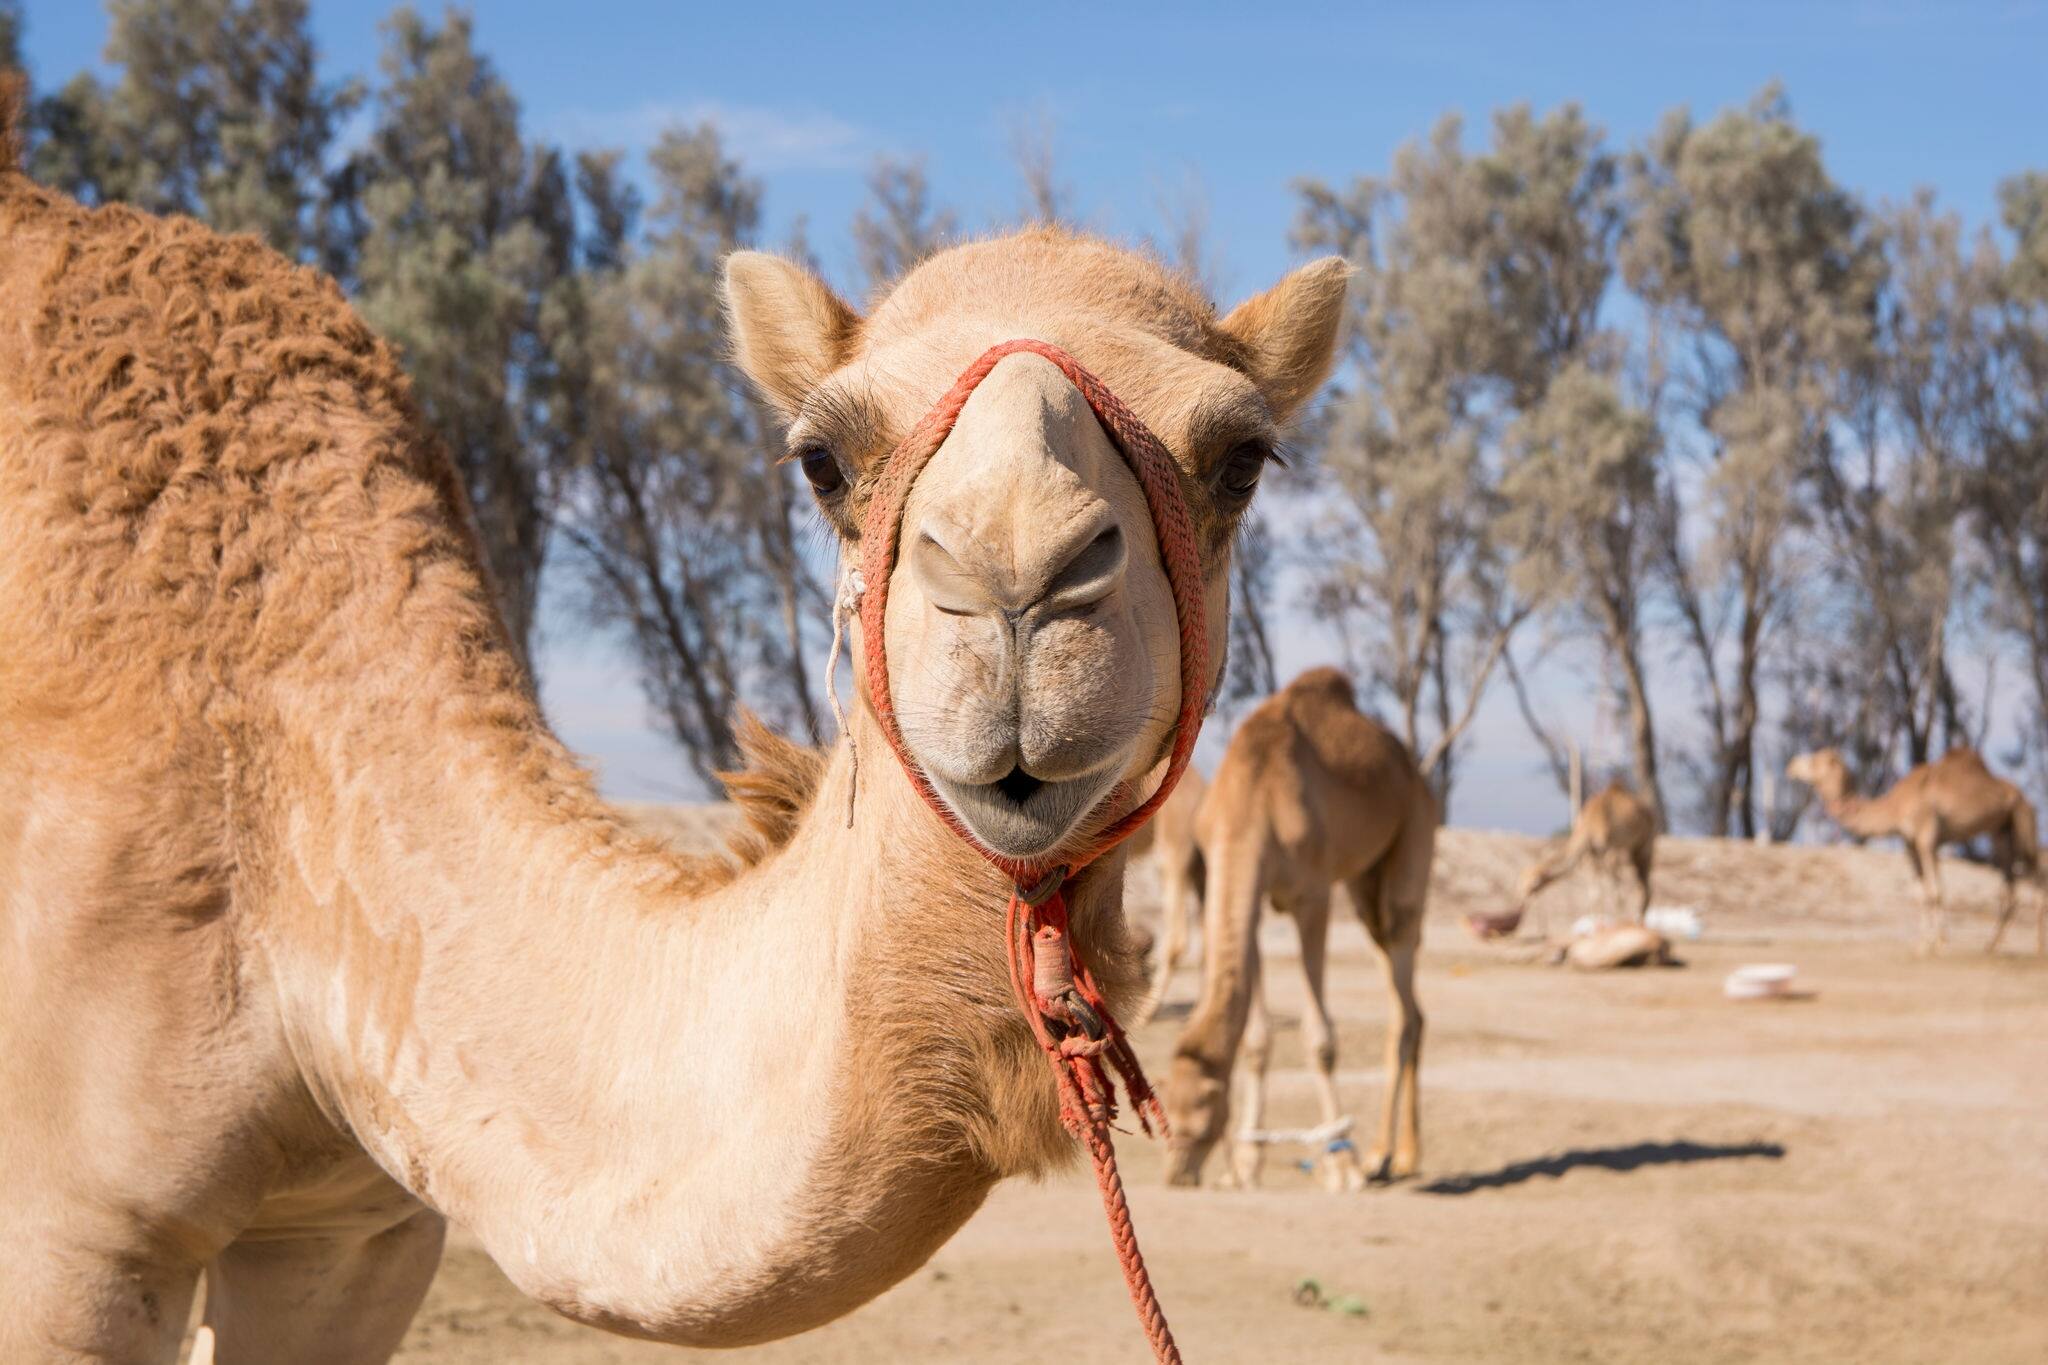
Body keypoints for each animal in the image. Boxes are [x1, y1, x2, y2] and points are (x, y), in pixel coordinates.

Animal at [1161, 668, 1437, 1192]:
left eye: (1204, 1116)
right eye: (1163, 1110)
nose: (1178, 1175)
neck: (1254, 798)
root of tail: (1414, 771)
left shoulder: (1312, 897)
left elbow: (1319, 1036)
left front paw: (1343, 1169)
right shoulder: (1250, 897)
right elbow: (1256, 1040)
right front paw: (1247, 1168)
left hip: (1414, 832)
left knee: (1404, 966)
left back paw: (1390, 1156)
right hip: (1363, 887)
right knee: (1407, 1000)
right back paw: (1398, 1154)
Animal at [1468, 782, 1658, 940]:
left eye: (1530, 886)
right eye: (1521, 884)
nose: (1520, 899)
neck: (1588, 824)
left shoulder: (1612, 849)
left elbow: (1617, 893)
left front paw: (1616, 928)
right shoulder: (1589, 855)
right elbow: (1594, 893)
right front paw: (1596, 929)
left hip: (1644, 844)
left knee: (1644, 885)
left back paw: (1640, 925)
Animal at [1786, 747, 2042, 954]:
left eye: (1814, 761)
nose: (1792, 765)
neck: (1895, 806)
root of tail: (2023, 797)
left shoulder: (1927, 837)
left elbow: (1936, 892)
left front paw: (1939, 943)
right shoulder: (1909, 844)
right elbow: (1921, 894)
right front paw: (1922, 944)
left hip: (2022, 819)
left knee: (2036, 874)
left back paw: (2036, 946)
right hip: (2001, 831)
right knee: (2010, 886)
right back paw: (1991, 944)